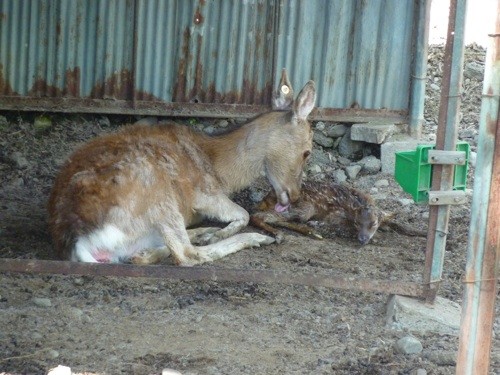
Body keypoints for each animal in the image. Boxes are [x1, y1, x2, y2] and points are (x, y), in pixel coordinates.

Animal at [47, 70, 316, 268]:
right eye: (307, 151)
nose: (295, 195)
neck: (220, 169)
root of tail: (79, 242)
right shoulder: (203, 193)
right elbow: (243, 213)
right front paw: (221, 233)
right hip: (157, 191)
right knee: (187, 254)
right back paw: (256, 238)